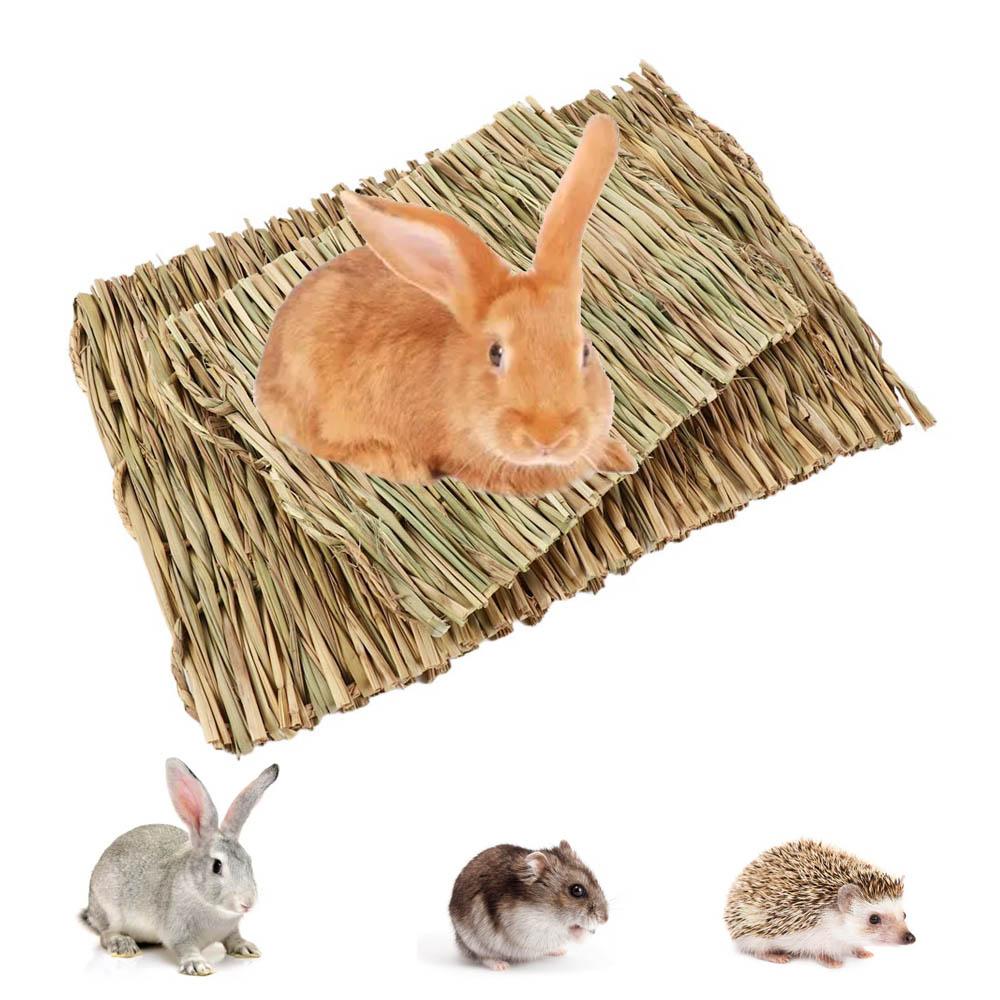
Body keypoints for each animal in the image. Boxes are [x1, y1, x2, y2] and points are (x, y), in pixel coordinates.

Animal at [81, 758, 278, 976]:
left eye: (249, 861)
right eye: (217, 866)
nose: (248, 903)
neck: (212, 907)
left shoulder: (230, 929)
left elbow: (233, 938)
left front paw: (246, 948)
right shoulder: (178, 932)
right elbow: (185, 948)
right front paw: (198, 965)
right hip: (109, 909)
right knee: (105, 933)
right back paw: (123, 944)